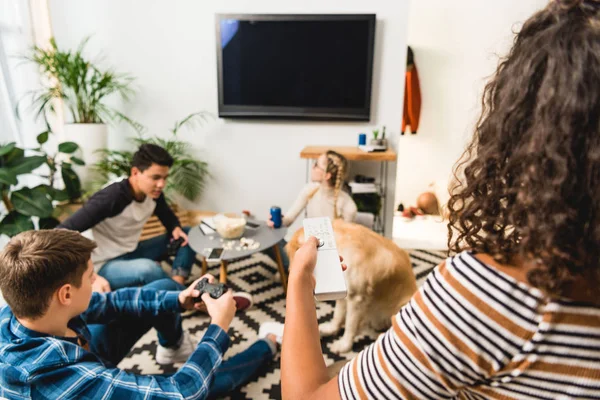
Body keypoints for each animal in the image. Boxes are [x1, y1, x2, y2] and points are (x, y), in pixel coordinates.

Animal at [288, 219, 418, 354]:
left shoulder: (357, 298)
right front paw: (331, 329)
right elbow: (337, 315)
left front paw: (344, 345)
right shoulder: (343, 291)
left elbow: (349, 325)